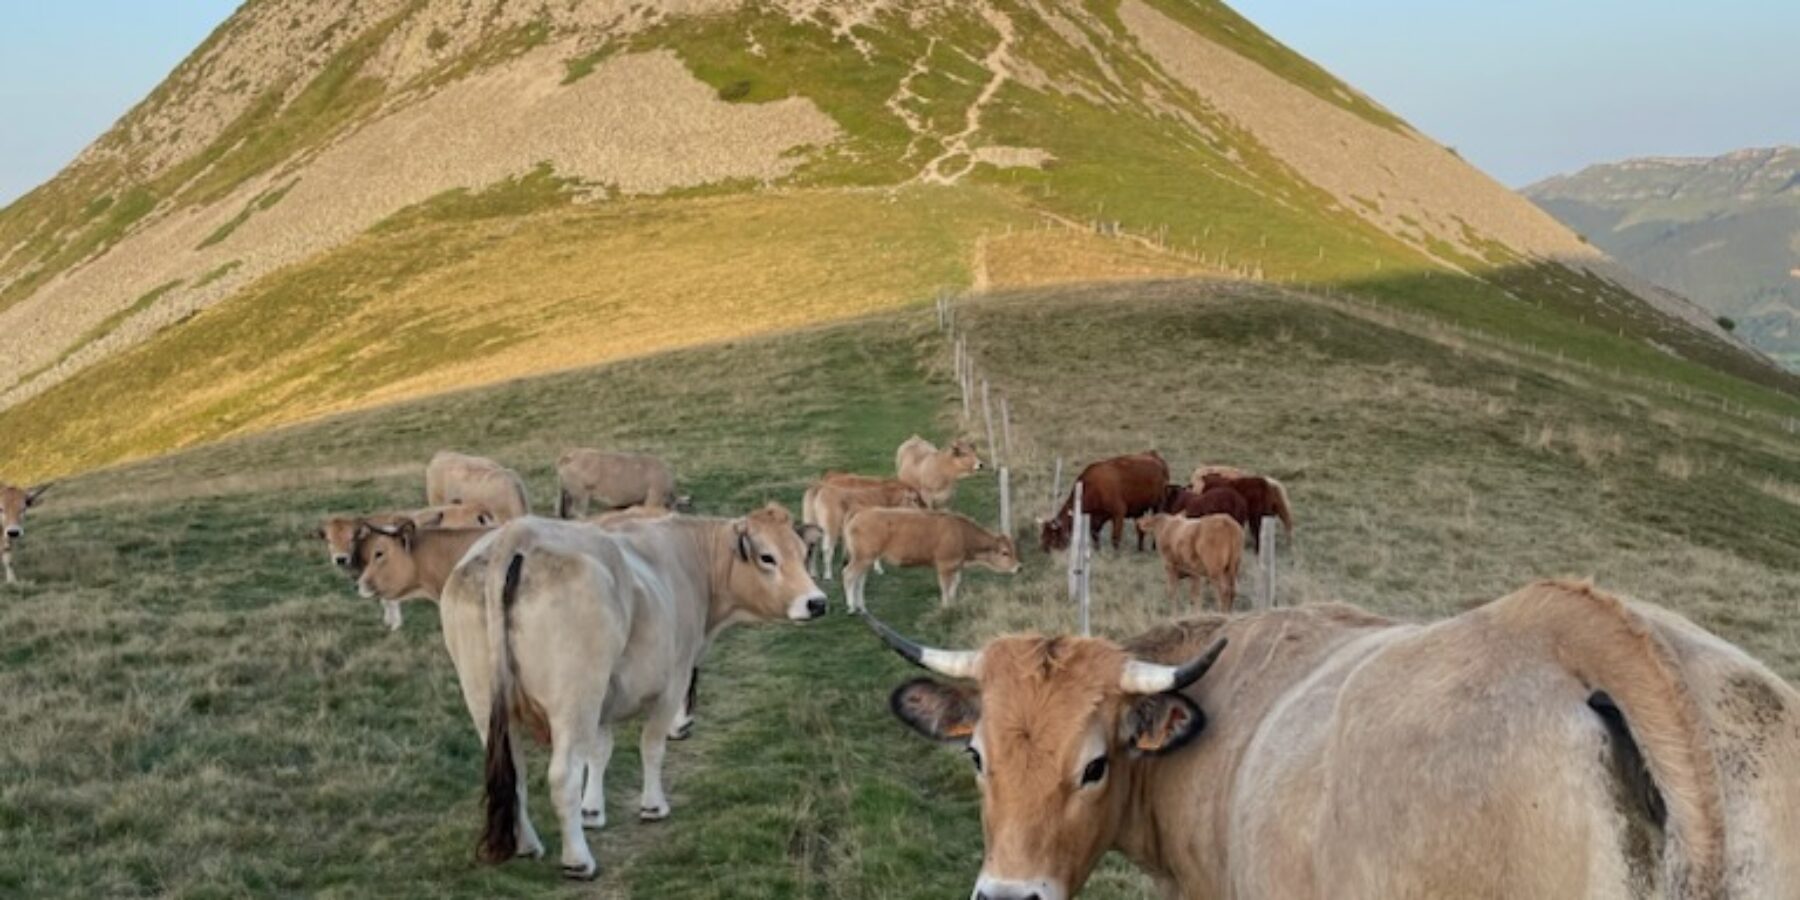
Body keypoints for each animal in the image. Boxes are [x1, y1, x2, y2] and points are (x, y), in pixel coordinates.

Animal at [441, 507, 824, 878]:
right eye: (767, 557)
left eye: (803, 553)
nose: (817, 602)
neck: (687, 559)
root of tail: (516, 535)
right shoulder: (671, 683)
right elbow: (652, 747)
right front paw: (653, 805)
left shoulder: (603, 700)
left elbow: (599, 752)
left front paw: (592, 810)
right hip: (574, 701)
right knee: (562, 776)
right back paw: (578, 860)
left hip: (485, 702)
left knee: (515, 774)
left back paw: (528, 844)